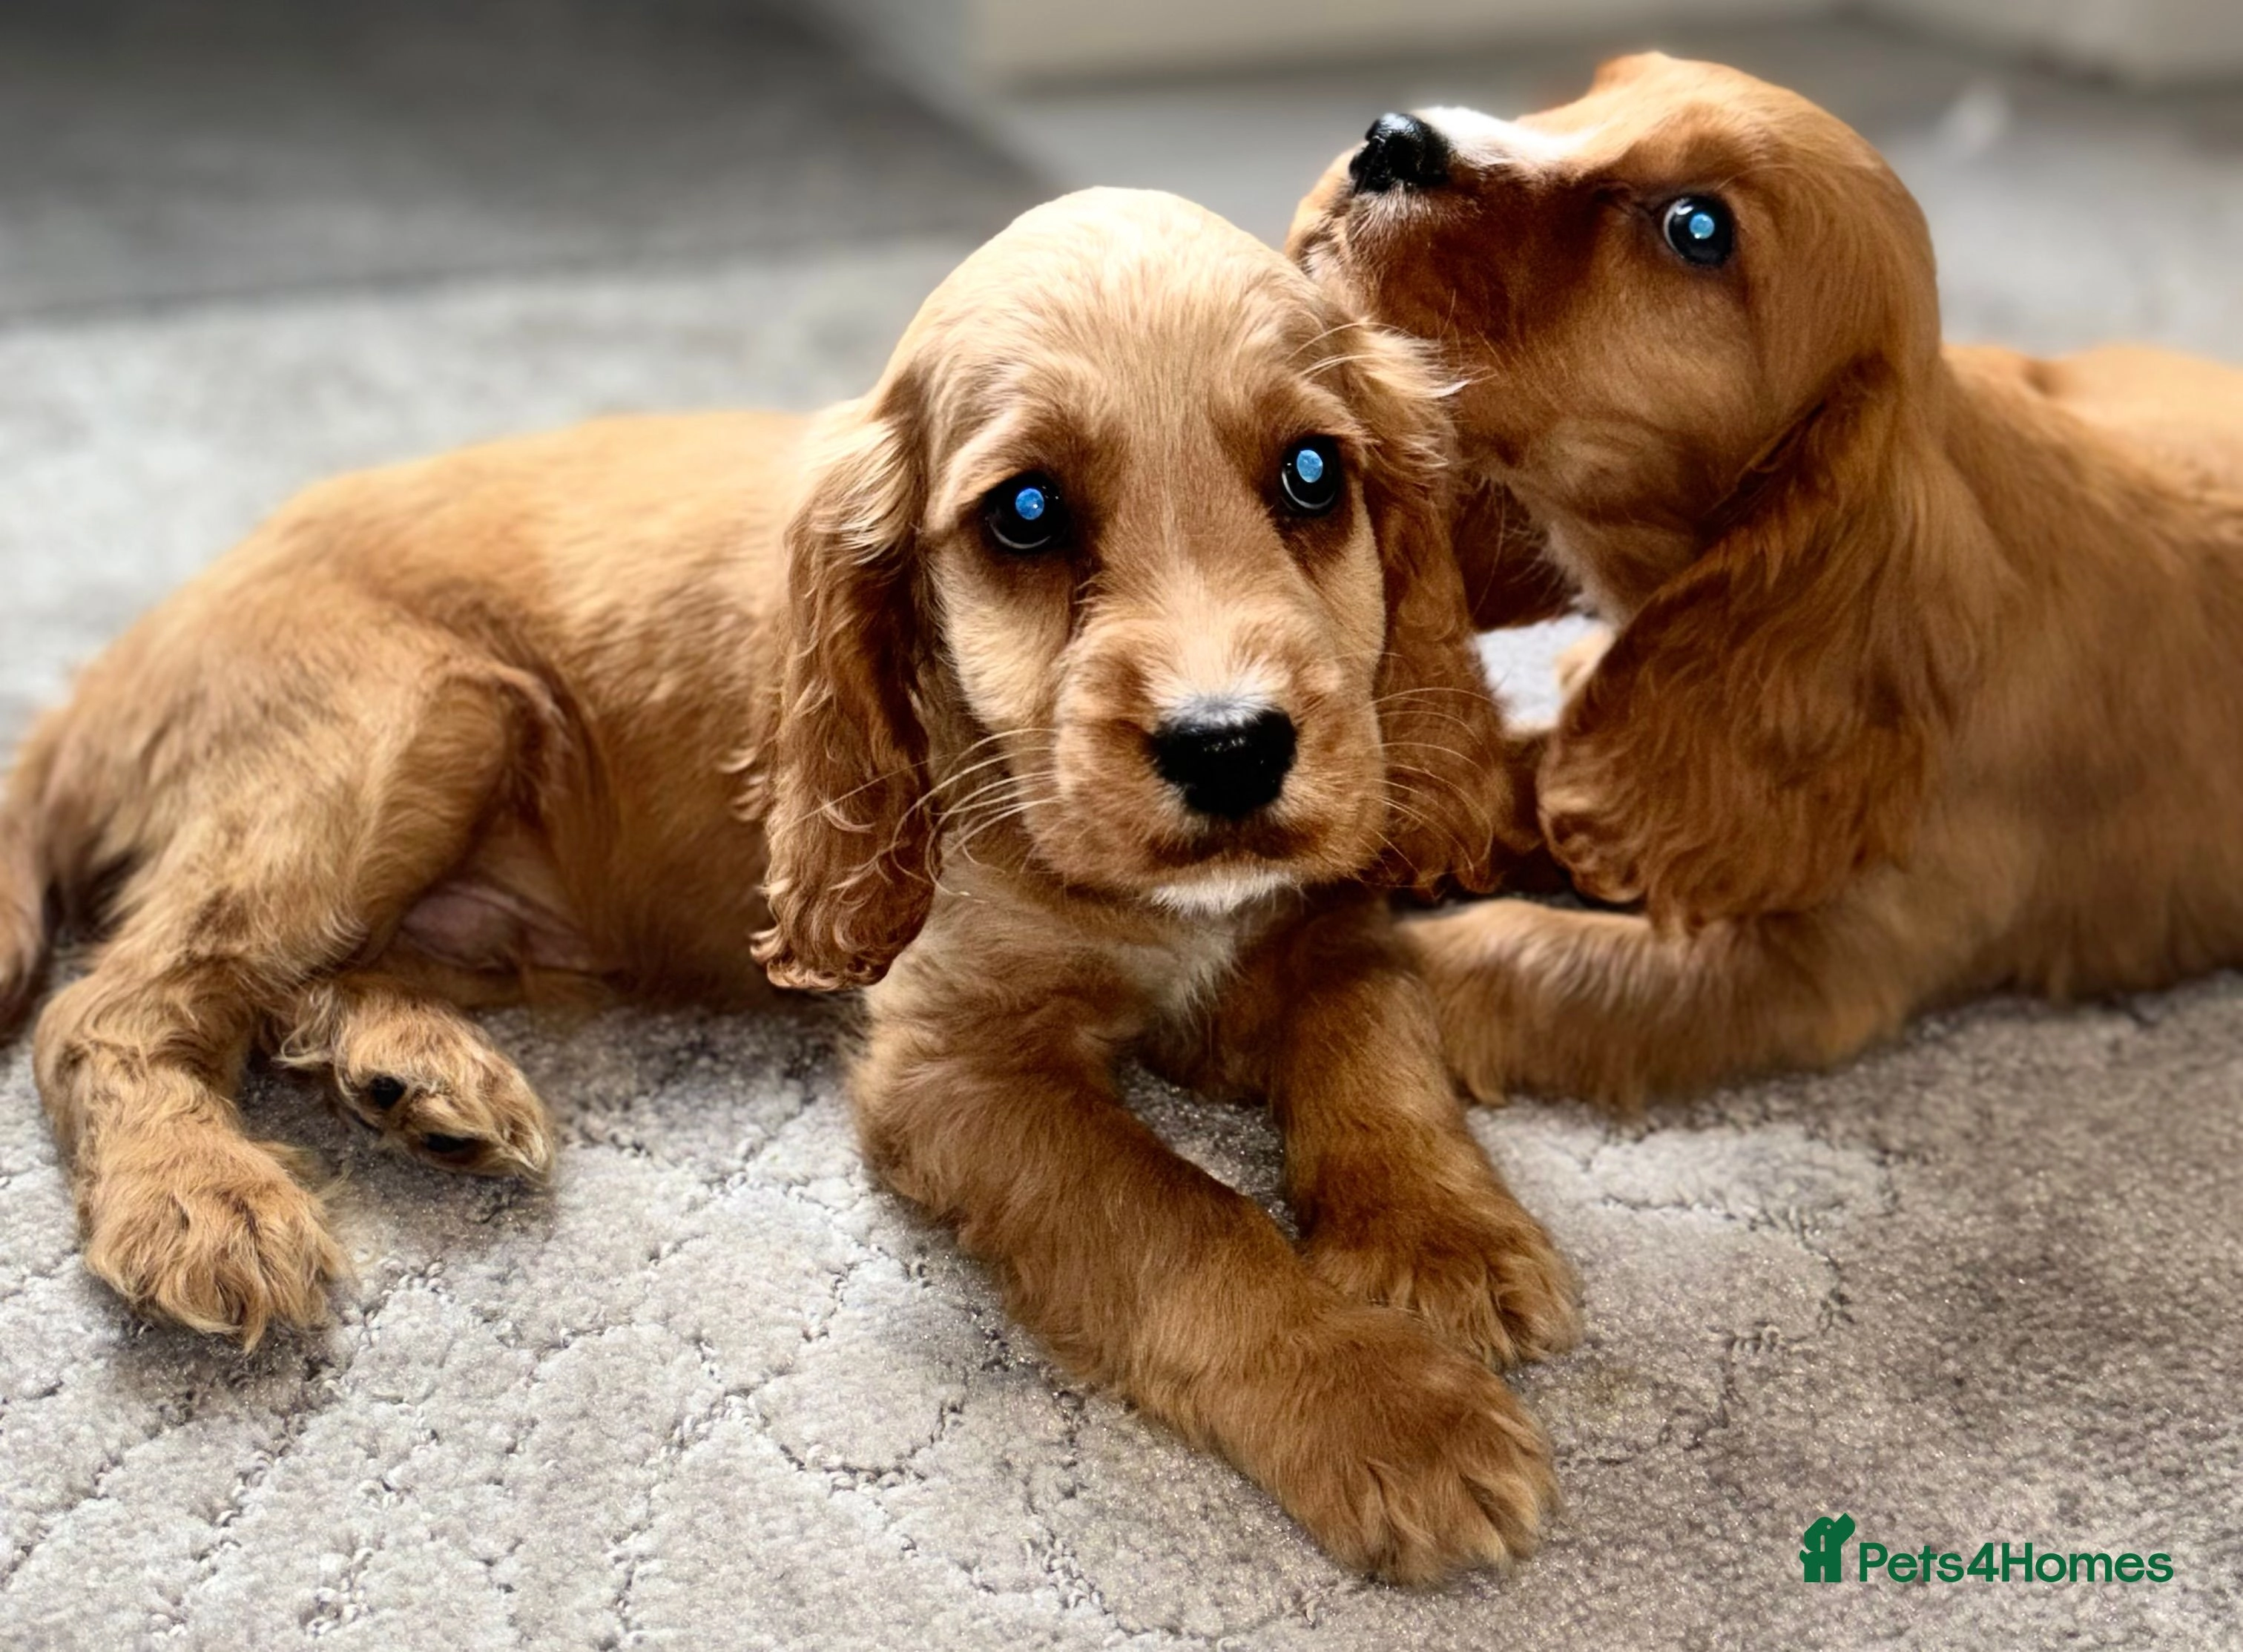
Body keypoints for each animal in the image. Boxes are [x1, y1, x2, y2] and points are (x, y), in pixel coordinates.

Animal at [0, 187, 1578, 1580]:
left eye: (1312, 476)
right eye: (1023, 512)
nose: (1230, 744)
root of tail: (107, 669)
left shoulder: (1304, 920)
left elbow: (1374, 1023)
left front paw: (1441, 1234)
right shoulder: (954, 1068)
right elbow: (1181, 1218)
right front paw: (1386, 1409)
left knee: (290, 984)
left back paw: (417, 1076)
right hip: (423, 713)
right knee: (106, 1007)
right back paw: (197, 1192)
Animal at [1291, 58, 2243, 1104]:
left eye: (1698, 228)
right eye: (1594, 93)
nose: (1392, 139)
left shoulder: (1807, 969)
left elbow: (1510, 956)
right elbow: (1537, 772)